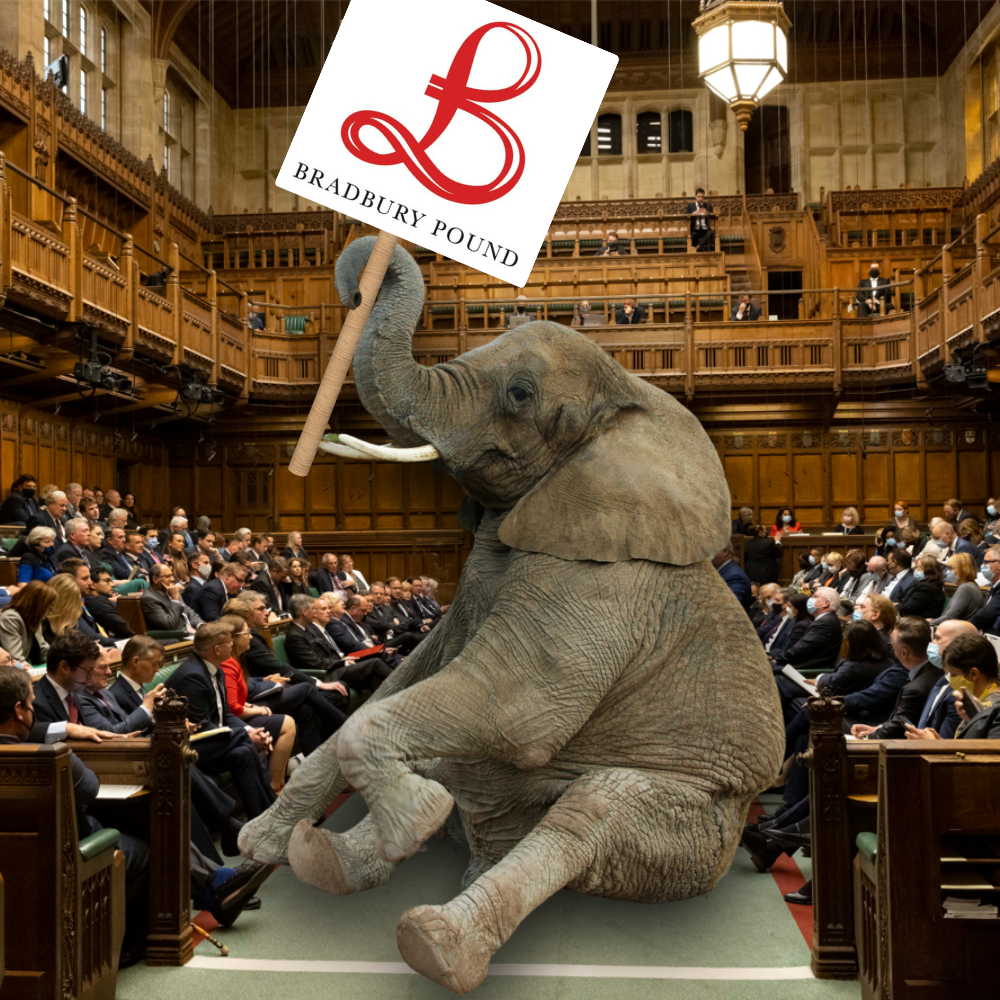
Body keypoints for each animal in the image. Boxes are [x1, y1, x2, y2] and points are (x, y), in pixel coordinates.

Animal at [238, 234, 784, 992]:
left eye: (520, 395)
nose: (362, 274)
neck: (632, 396)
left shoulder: (605, 585)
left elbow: (520, 706)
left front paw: (412, 823)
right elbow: (402, 680)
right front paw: (258, 841)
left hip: (693, 829)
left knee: (591, 813)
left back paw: (437, 939)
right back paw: (326, 858)